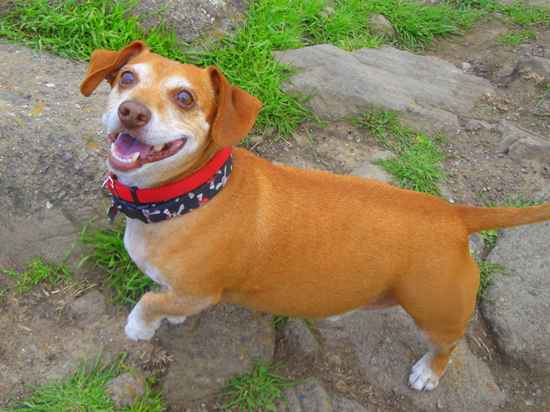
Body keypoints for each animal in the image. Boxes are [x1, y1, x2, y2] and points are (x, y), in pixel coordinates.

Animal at [81, 40, 550, 392]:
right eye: (127, 78)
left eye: (184, 97)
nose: (131, 112)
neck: (192, 197)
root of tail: (454, 214)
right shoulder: (184, 291)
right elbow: (166, 298)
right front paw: (170, 318)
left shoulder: (200, 291)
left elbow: (149, 301)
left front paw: (139, 328)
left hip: (435, 312)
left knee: (447, 345)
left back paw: (427, 374)